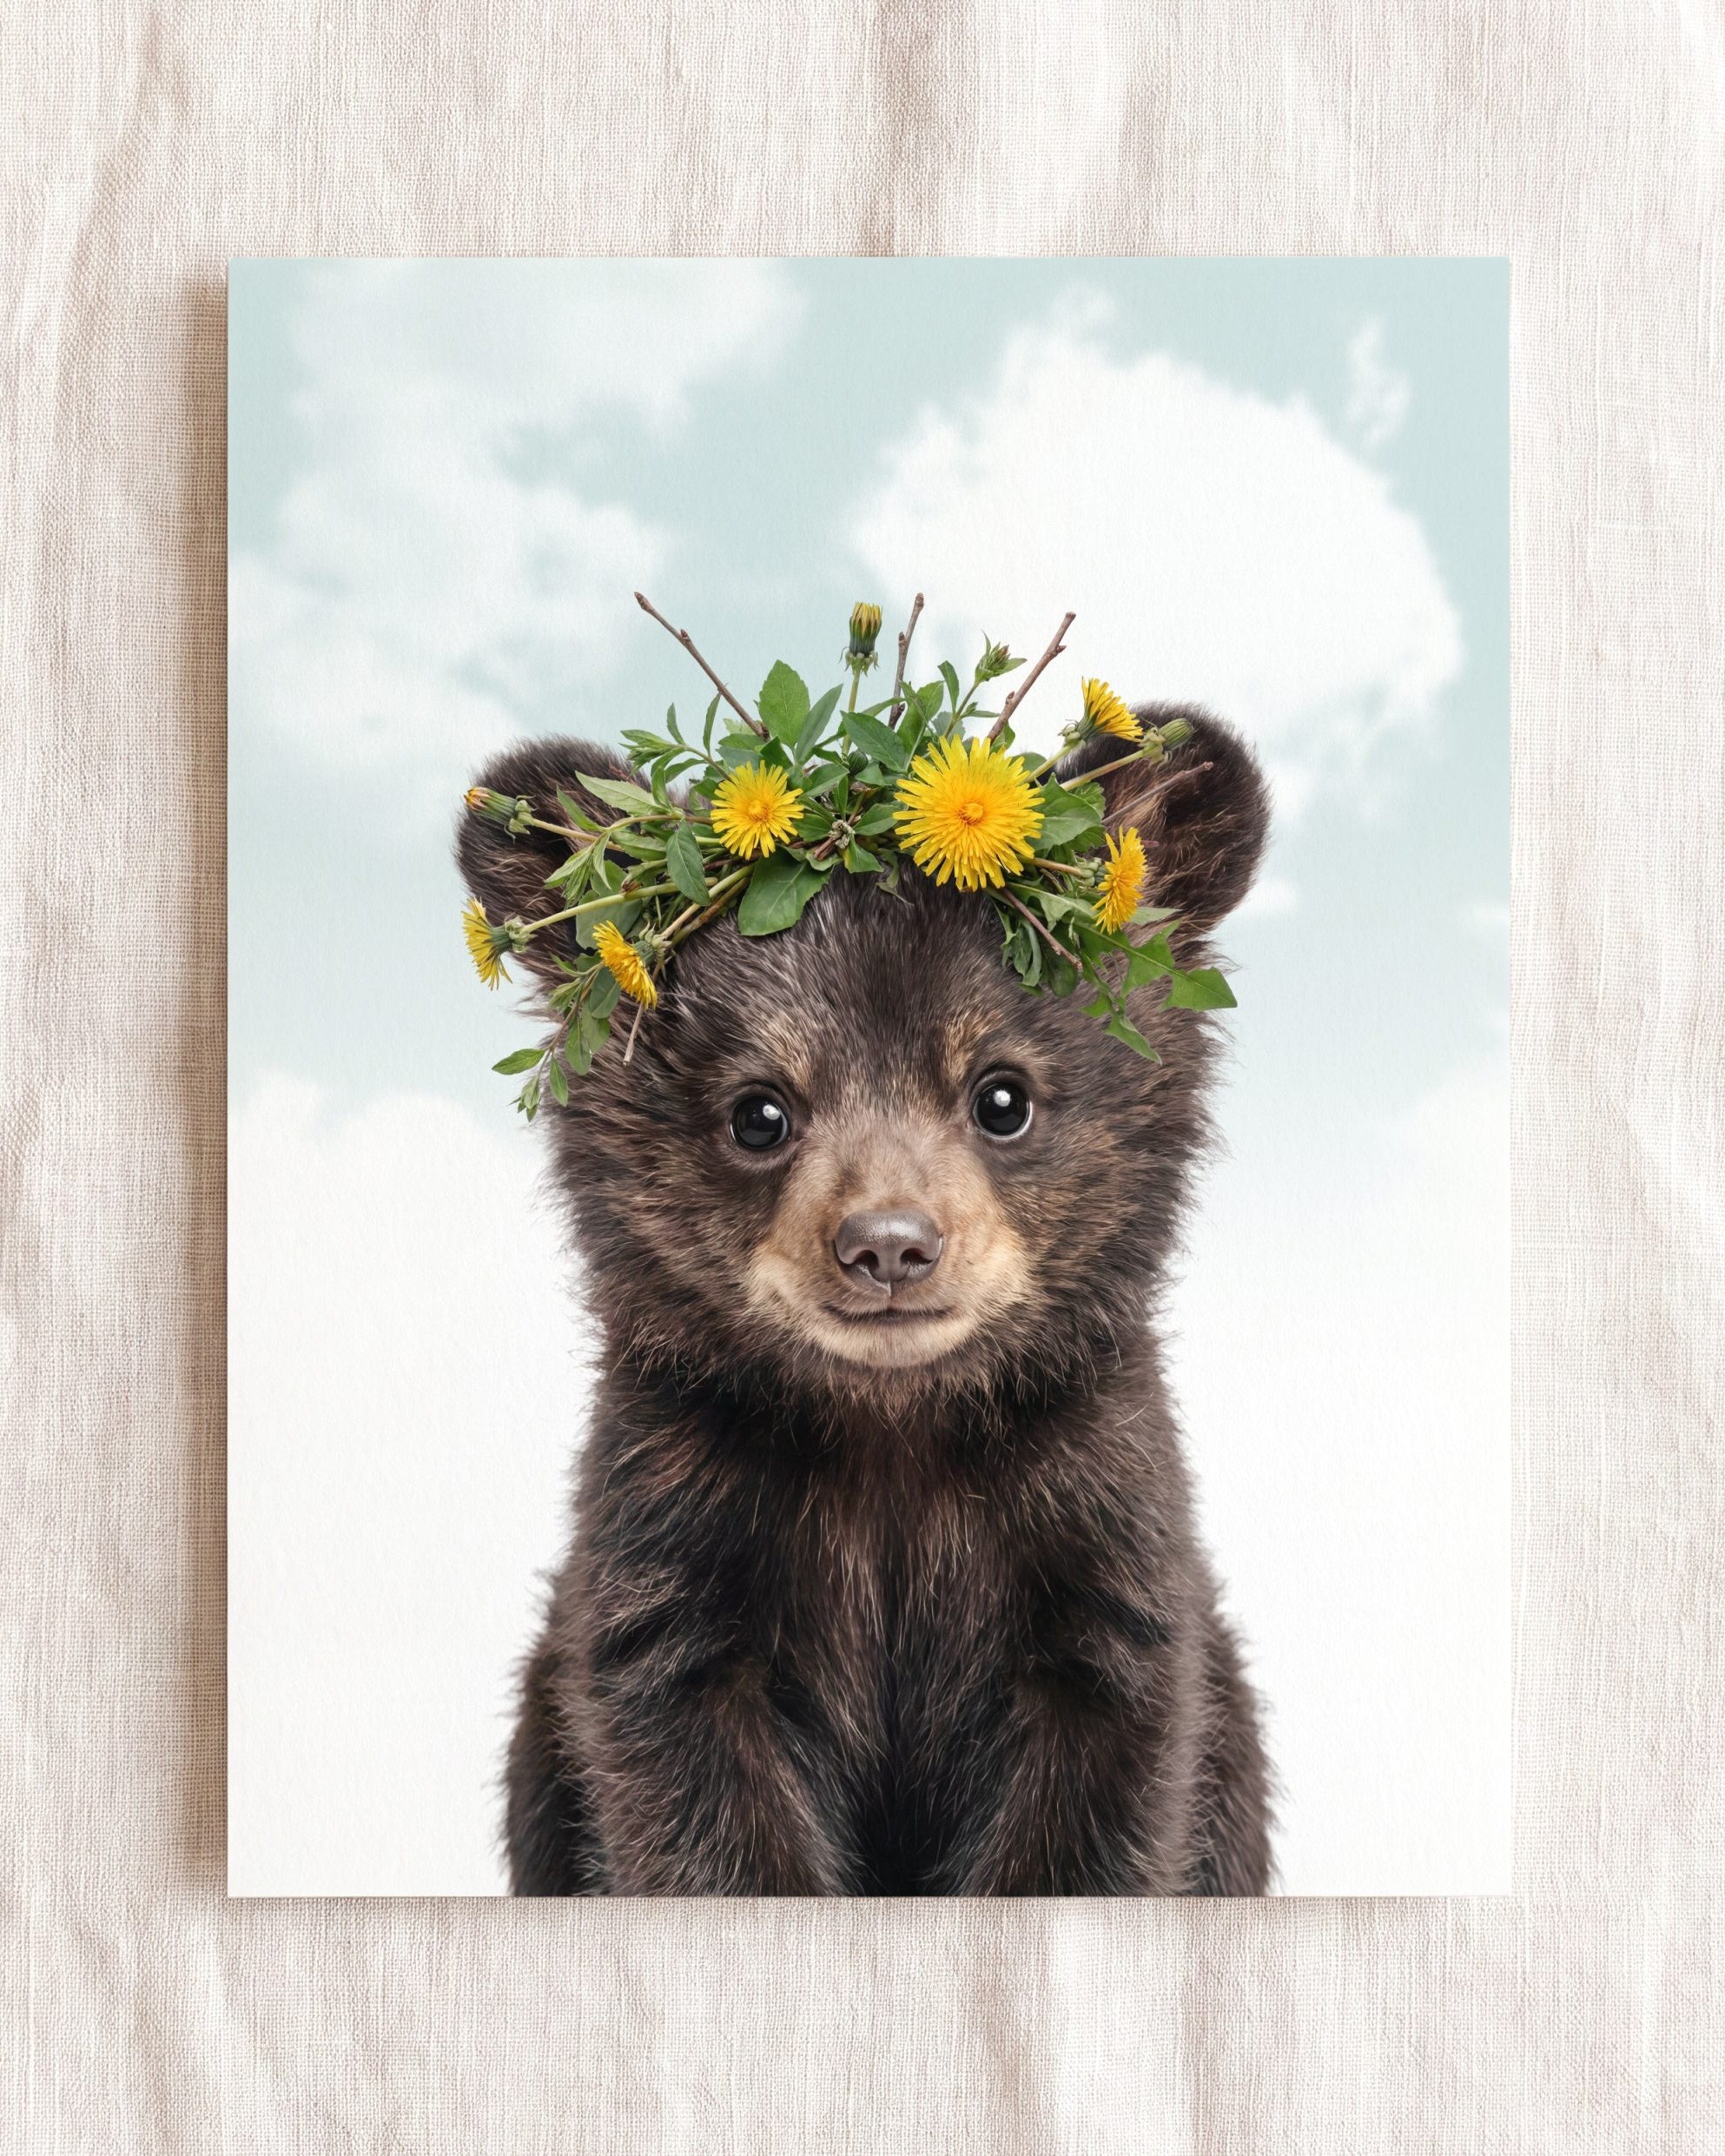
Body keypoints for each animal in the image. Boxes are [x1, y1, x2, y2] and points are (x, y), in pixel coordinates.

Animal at [457, 705, 1275, 1895]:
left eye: (1002, 1095)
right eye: (759, 1111)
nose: (889, 1246)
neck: (892, 1433)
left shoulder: (1094, 1527)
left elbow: (1099, 1796)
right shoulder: (676, 1528)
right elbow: (694, 1796)